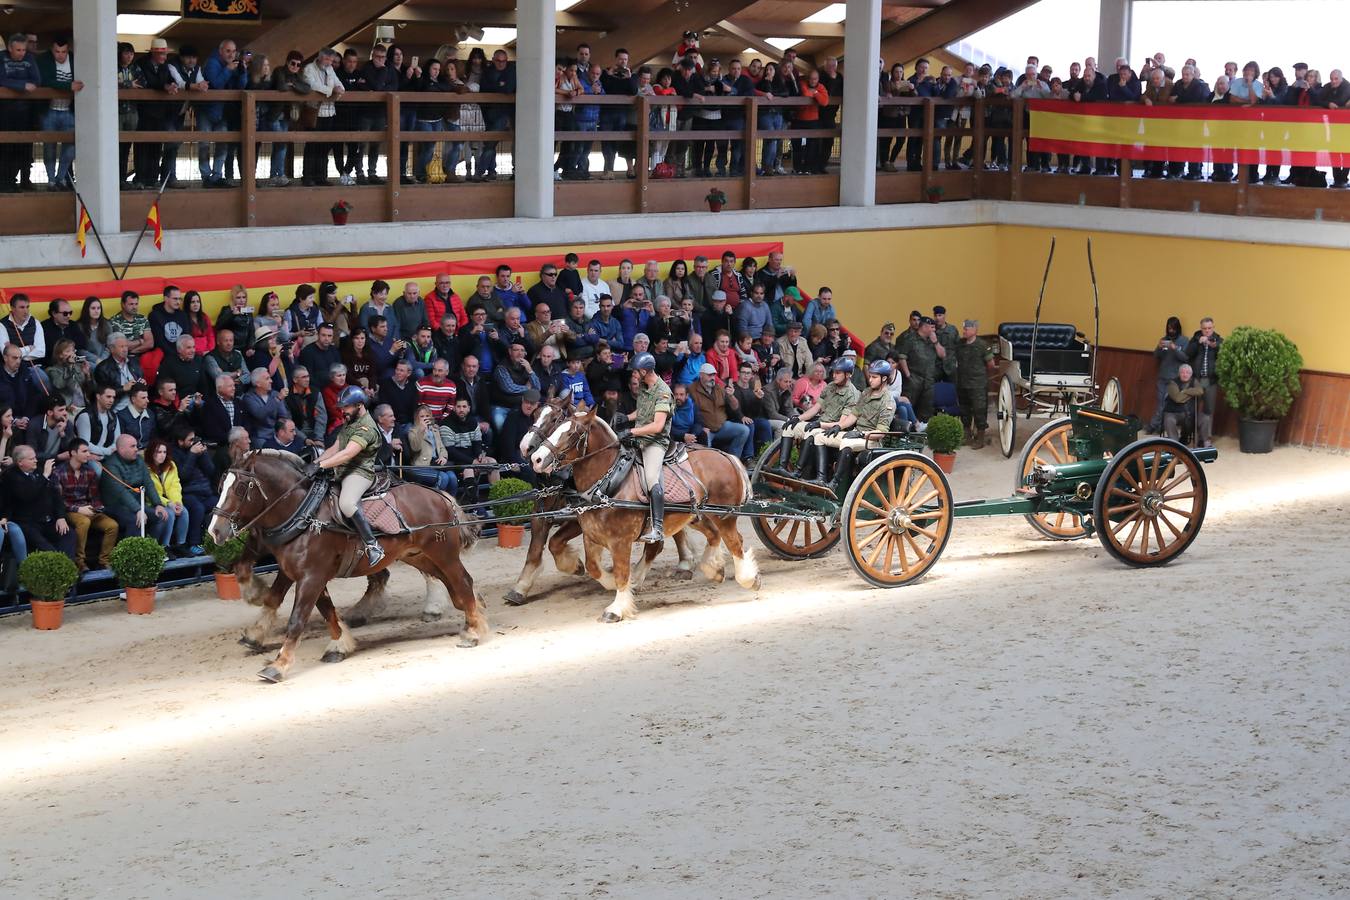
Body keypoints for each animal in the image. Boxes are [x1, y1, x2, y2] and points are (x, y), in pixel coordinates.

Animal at [207, 450, 488, 682]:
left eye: (240, 488)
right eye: (221, 485)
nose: (215, 531)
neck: (304, 514)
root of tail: (438, 495)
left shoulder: (311, 577)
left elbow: (297, 619)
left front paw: (278, 665)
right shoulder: (302, 573)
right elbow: (317, 608)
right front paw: (338, 644)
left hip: (443, 554)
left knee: (462, 581)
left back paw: (473, 631)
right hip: (417, 555)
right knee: (449, 582)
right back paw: (471, 612)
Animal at [504, 396, 696, 609]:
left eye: (554, 419)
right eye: (535, 414)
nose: (527, 449)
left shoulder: (577, 519)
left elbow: (555, 543)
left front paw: (575, 566)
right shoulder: (542, 513)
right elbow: (536, 549)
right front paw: (520, 588)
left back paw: (682, 563)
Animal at [529, 407, 761, 623]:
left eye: (571, 433)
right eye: (555, 426)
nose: (536, 459)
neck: (609, 483)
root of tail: (726, 456)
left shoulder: (620, 540)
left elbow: (622, 572)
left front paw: (616, 608)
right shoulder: (591, 535)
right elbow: (593, 567)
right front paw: (611, 583)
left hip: (723, 516)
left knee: (734, 542)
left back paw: (749, 579)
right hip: (695, 514)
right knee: (712, 535)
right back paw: (713, 570)